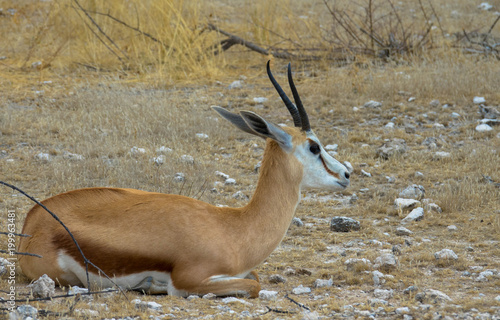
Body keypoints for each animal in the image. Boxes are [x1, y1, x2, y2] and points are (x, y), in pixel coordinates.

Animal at [17, 62, 350, 298]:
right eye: (314, 146)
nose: (346, 174)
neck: (234, 230)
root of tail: (32, 221)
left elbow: (254, 277)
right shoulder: (190, 279)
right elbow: (253, 284)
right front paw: (151, 285)